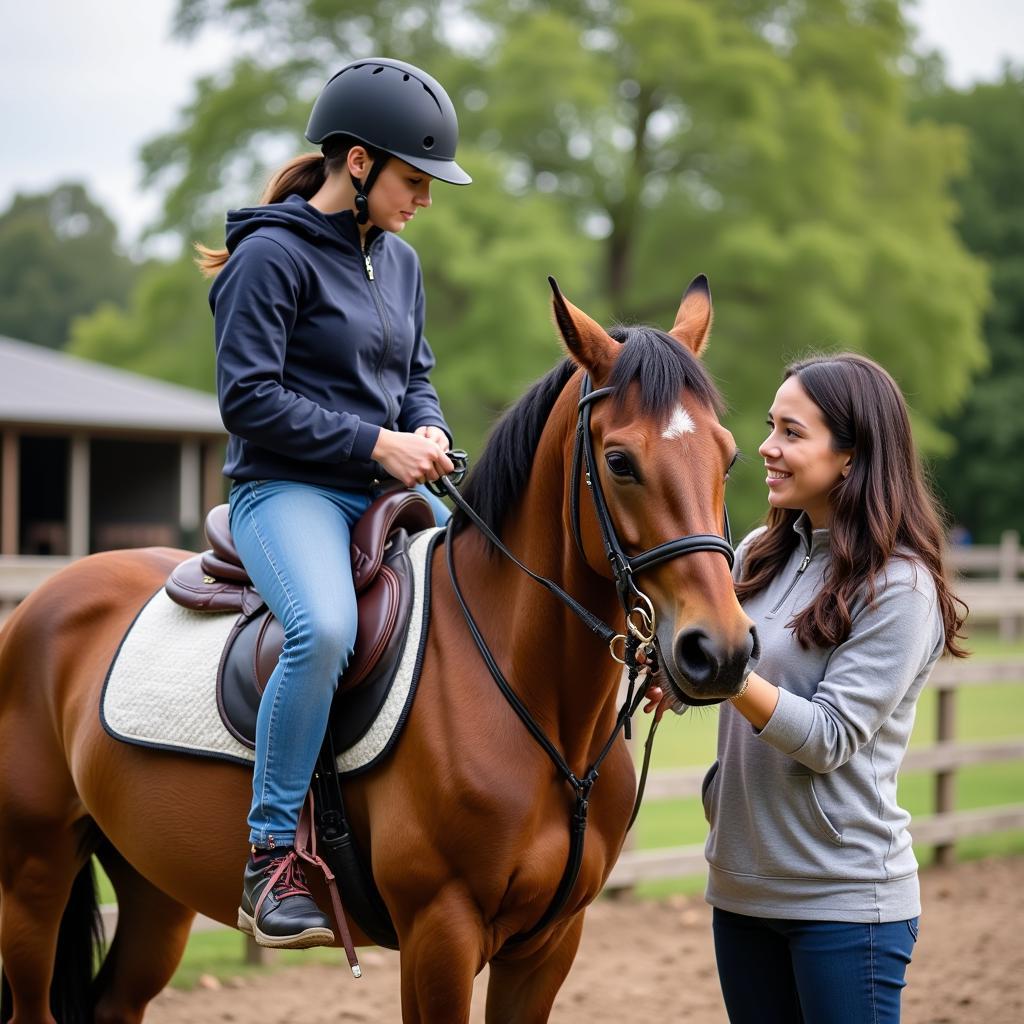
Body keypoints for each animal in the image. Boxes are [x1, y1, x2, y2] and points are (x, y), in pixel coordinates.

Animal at [0, 276, 753, 1019]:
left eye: (730, 454)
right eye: (620, 461)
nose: (719, 651)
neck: (530, 698)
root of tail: (39, 603)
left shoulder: (548, 945)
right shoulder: (439, 933)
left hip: (153, 887)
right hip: (33, 880)